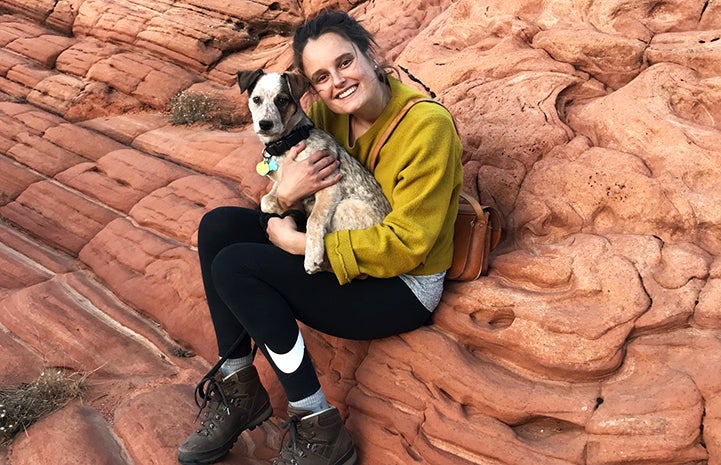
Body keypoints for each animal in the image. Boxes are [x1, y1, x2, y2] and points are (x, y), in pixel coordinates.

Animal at [238, 68, 390, 272]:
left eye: (282, 100)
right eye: (256, 99)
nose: (264, 124)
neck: (288, 142)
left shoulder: (329, 185)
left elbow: (315, 219)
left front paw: (313, 257)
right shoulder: (282, 182)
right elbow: (266, 200)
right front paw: (282, 207)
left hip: (343, 208)